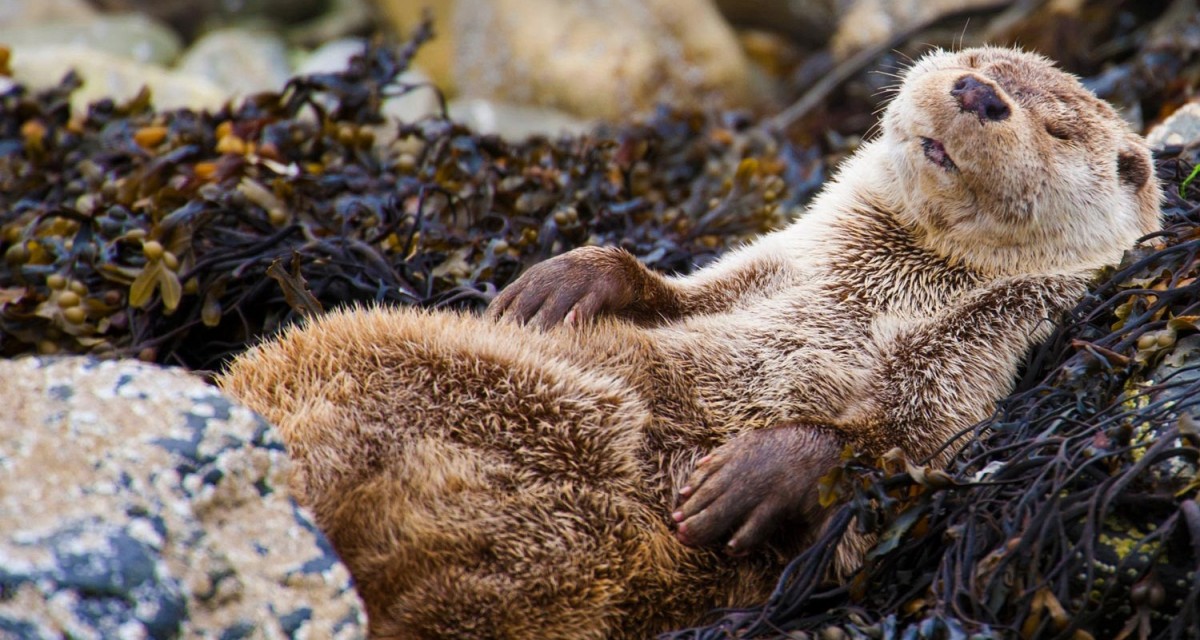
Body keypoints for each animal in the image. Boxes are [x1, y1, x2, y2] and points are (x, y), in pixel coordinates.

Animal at [219, 47, 1161, 639]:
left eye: (1057, 128)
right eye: (975, 66)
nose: (977, 94)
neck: (876, 290)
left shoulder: (978, 361)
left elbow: (895, 456)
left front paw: (753, 474)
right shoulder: (771, 266)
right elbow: (676, 292)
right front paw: (568, 281)